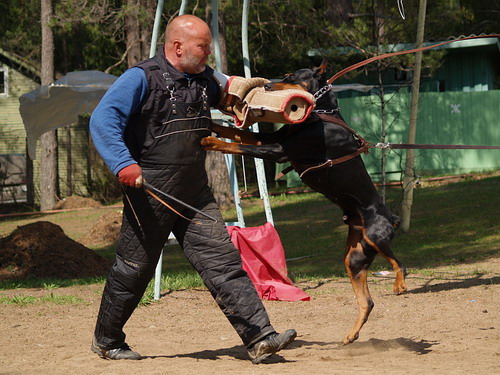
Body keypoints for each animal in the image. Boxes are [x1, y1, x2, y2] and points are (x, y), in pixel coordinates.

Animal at [201, 61, 408, 346]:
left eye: (292, 76)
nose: (267, 85)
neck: (321, 113)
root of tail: (392, 217)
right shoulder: (273, 140)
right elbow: (236, 133)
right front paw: (211, 124)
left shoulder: (278, 150)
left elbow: (238, 145)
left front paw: (211, 140)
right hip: (355, 257)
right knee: (367, 301)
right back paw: (351, 334)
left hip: (376, 235)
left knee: (400, 264)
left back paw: (399, 284)